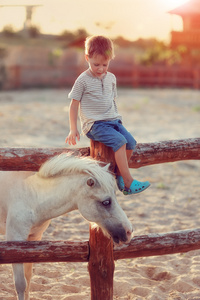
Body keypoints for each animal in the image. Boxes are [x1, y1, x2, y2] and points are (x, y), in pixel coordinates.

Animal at [0, 154, 133, 300]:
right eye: (106, 202)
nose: (129, 231)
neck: (31, 196)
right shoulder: (15, 240)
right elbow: (20, 284)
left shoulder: (32, 239)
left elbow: (28, 278)